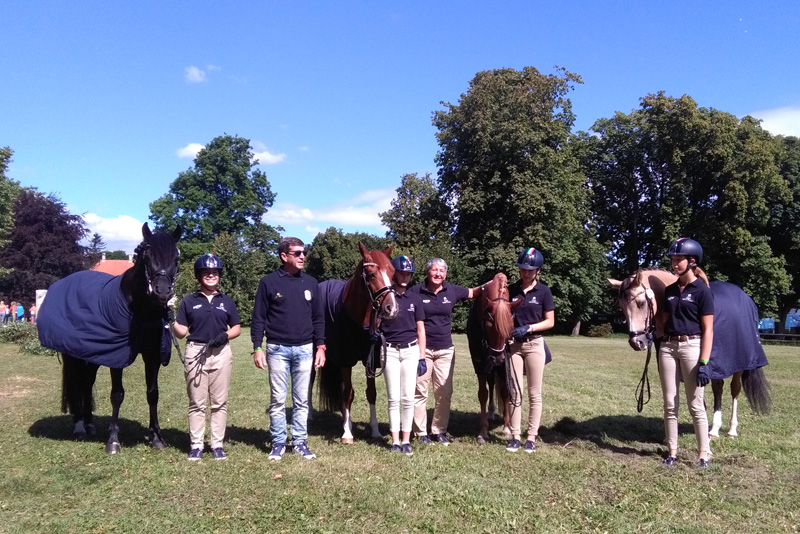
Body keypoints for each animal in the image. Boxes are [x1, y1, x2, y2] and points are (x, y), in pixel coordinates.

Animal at [38, 224, 181, 454]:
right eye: (147, 256)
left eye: (176, 259)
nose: (162, 292)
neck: (138, 308)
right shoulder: (117, 357)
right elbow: (117, 394)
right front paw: (113, 440)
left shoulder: (152, 355)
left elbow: (153, 393)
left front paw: (156, 437)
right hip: (73, 356)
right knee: (77, 383)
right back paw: (79, 426)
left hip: (92, 354)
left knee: (87, 383)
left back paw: (89, 424)